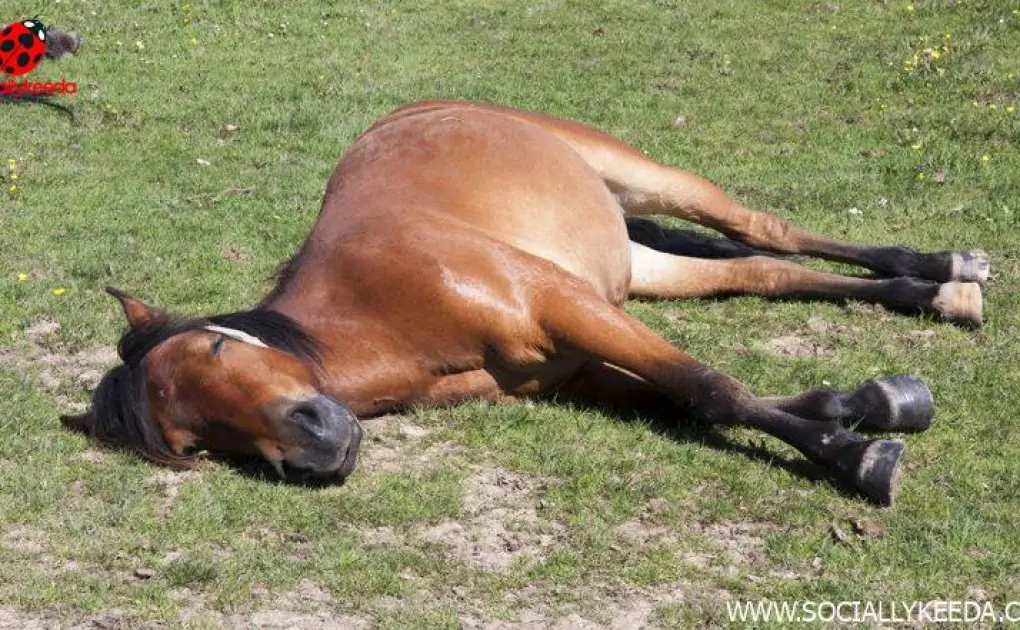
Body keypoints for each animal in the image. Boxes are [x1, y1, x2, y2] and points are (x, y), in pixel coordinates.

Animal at [61, 100, 989, 505]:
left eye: (217, 349)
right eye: (194, 443)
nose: (314, 449)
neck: (384, 309)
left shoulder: (566, 306)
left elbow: (709, 388)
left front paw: (857, 459)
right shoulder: (570, 369)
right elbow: (689, 399)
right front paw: (868, 404)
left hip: (641, 179)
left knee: (763, 229)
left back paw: (952, 268)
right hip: (634, 264)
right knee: (758, 268)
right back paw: (939, 289)